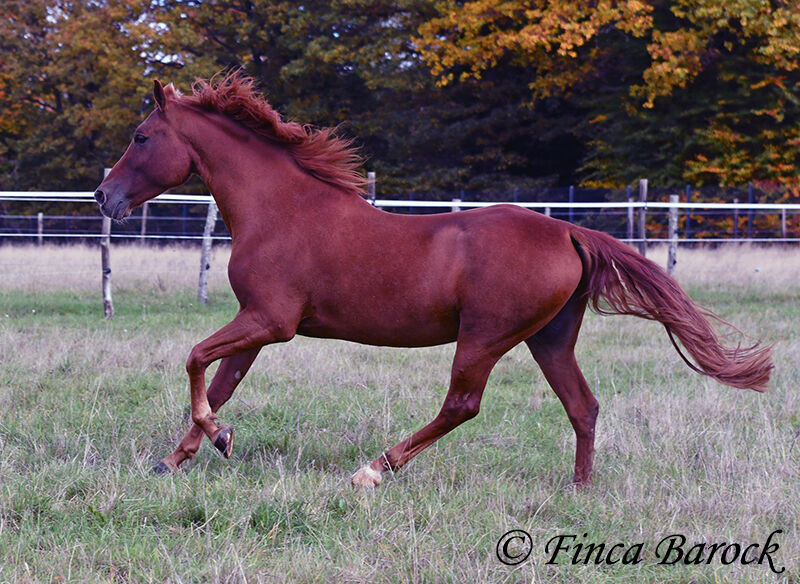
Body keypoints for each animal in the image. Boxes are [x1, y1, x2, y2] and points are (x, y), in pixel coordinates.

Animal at [94, 72, 772, 488]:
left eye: (142, 136)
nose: (104, 197)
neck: (280, 209)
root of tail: (568, 233)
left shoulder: (270, 322)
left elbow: (194, 358)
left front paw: (213, 441)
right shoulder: (258, 326)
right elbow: (220, 383)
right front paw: (186, 455)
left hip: (485, 337)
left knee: (462, 405)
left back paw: (374, 469)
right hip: (550, 338)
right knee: (582, 405)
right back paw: (580, 491)